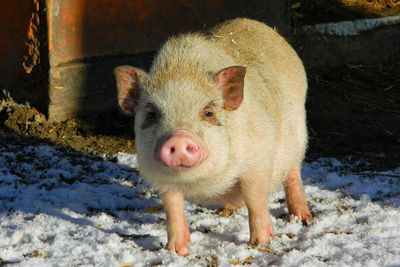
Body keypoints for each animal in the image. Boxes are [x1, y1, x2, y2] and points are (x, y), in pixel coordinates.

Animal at [114, 17, 310, 256]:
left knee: (293, 175)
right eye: (152, 114)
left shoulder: (258, 161)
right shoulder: (162, 179)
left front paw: (260, 244)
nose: (178, 138)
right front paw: (176, 251)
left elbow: (255, 200)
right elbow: (172, 207)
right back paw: (226, 211)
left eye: (208, 112)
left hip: (299, 135)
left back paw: (303, 218)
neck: (204, 186)